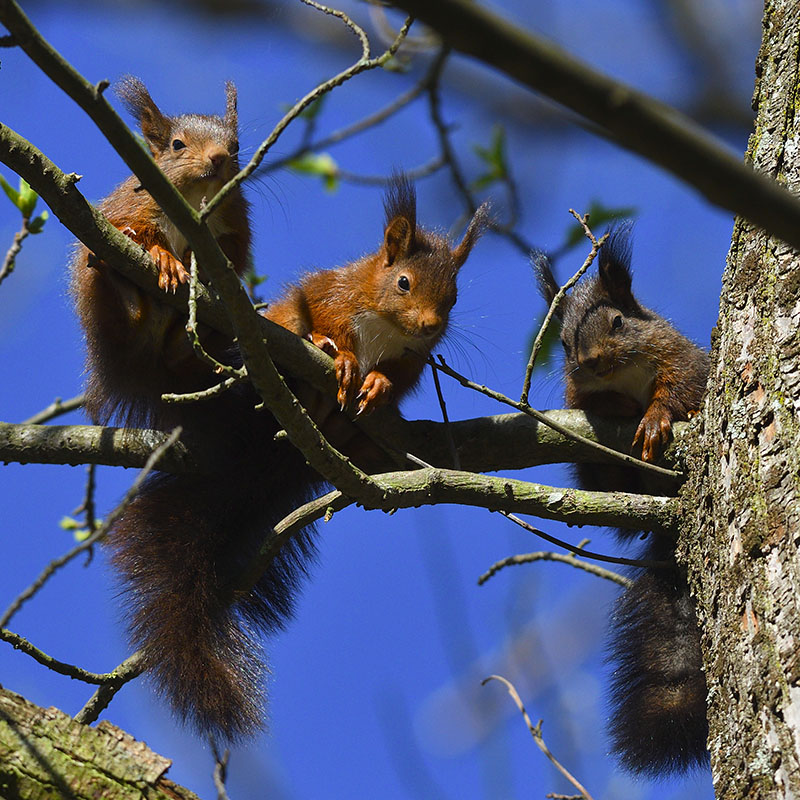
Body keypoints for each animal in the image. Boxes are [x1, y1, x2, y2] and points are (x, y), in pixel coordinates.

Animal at [73, 89, 488, 744]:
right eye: (402, 282)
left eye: (452, 300)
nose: (429, 326)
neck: (387, 326)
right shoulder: (331, 295)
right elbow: (319, 315)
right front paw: (338, 354)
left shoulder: (414, 359)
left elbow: (399, 379)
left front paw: (375, 383)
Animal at [536, 228, 708, 780]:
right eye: (562, 343)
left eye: (618, 321)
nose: (588, 361)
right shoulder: (577, 399)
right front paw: (614, 404)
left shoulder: (684, 360)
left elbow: (682, 390)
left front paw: (654, 416)